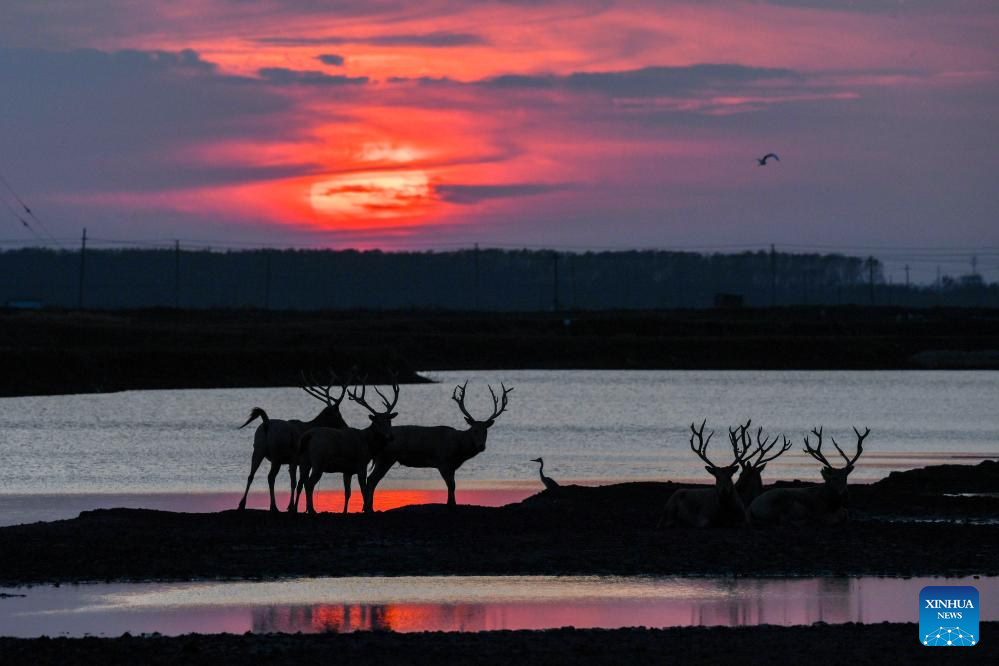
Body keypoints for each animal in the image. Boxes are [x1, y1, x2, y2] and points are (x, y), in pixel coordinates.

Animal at [236, 370, 350, 510]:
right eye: (339, 415)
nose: (346, 426)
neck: (309, 426)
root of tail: (266, 424)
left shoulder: (295, 461)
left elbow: (298, 483)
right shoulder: (298, 460)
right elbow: (297, 483)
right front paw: (292, 506)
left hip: (258, 448)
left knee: (251, 475)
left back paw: (242, 504)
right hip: (276, 455)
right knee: (270, 477)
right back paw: (273, 506)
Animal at [294, 378, 400, 512]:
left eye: (389, 421)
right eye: (378, 422)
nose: (391, 436)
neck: (368, 445)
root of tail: (308, 436)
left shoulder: (347, 471)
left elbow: (347, 492)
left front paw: (345, 511)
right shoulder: (361, 464)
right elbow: (364, 489)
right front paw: (366, 509)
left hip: (304, 460)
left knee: (301, 483)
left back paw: (296, 509)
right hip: (319, 460)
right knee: (309, 484)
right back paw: (312, 510)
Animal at [362, 378, 516, 508]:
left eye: (486, 431)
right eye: (474, 430)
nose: (481, 446)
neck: (459, 449)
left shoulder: (452, 466)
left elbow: (453, 485)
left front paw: (452, 503)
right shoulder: (443, 462)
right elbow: (451, 485)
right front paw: (450, 504)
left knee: (372, 480)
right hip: (386, 458)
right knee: (372, 479)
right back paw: (369, 508)